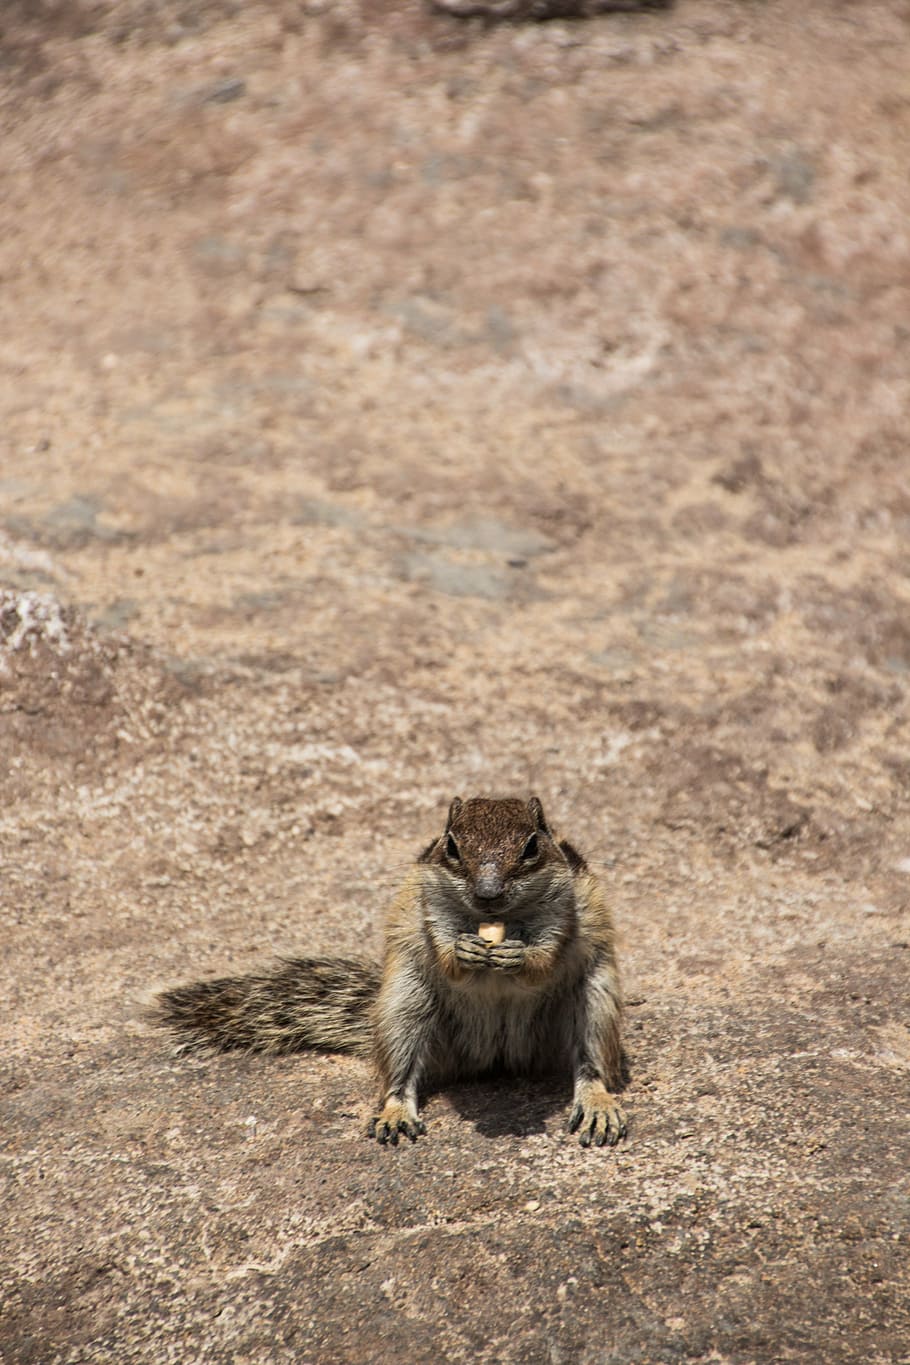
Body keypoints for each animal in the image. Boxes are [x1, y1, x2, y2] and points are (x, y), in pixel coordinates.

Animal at [155, 795, 627, 1149]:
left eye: (531, 846)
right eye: (451, 846)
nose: (487, 893)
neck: (500, 921)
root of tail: (496, 1058)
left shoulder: (564, 914)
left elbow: (545, 956)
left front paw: (519, 957)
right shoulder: (428, 910)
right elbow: (446, 955)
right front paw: (465, 951)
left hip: (594, 1003)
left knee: (590, 1065)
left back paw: (598, 1106)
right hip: (404, 1007)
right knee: (399, 1073)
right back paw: (395, 1112)